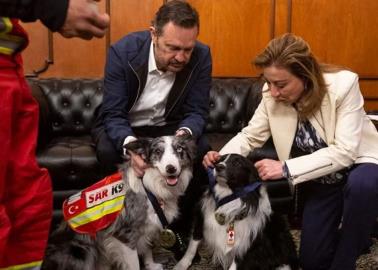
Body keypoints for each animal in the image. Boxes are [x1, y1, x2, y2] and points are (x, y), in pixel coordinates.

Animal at [43, 135, 196, 270]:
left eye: (179, 149)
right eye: (158, 152)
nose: (171, 169)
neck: (150, 187)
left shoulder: (147, 227)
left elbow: (147, 249)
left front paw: (151, 266)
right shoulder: (125, 236)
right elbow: (134, 265)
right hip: (83, 251)